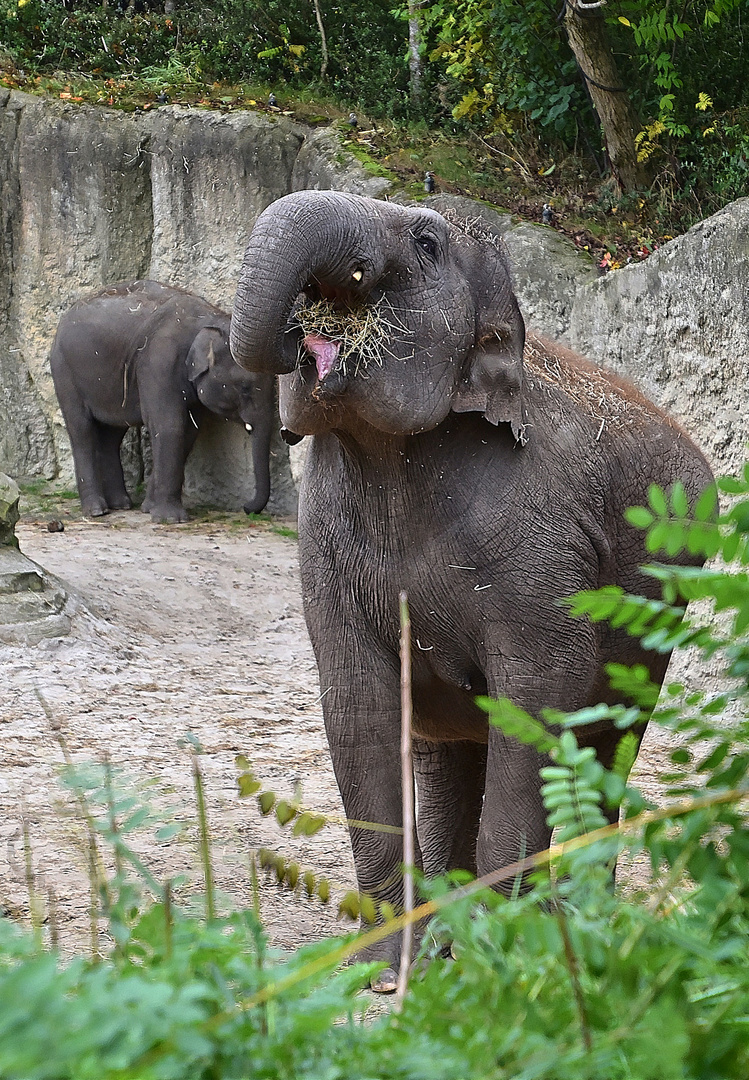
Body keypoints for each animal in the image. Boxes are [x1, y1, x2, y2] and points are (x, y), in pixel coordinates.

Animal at [51, 278, 276, 522]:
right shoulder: (159, 360)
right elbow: (169, 425)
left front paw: (149, 508)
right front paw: (172, 519)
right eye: (245, 388)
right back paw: (96, 511)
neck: (210, 319)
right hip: (64, 371)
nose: (246, 507)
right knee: (81, 430)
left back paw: (121, 505)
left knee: (112, 434)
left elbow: (189, 432)